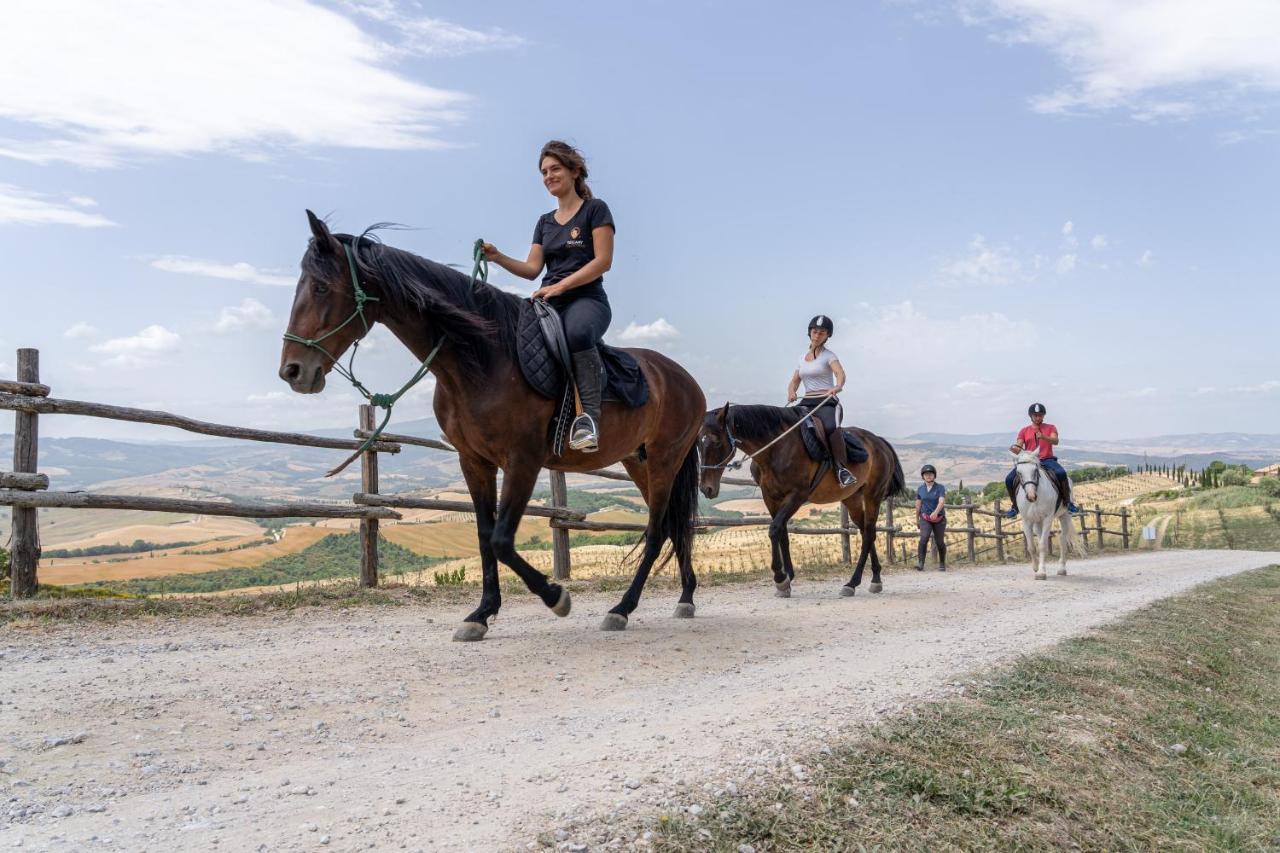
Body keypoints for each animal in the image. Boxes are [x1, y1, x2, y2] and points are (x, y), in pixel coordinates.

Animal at [280, 212, 706, 637]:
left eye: (320, 287)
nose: (293, 371)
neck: (482, 359)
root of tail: (687, 380)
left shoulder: (523, 460)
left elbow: (502, 539)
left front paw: (556, 597)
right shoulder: (474, 461)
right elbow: (485, 536)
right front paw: (482, 613)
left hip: (665, 460)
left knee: (657, 531)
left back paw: (622, 608)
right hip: (638, 461)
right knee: (673, 525)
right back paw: (685, 597)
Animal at [701, 404, 901, 591]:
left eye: (716, 441)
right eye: (698, 444)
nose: (706, 488)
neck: (776, 449)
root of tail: (880, 442)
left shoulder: (797, 496)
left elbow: (774, 529)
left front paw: (780, 577)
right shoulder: (771, 497)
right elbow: (782, 532)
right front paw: (788, 577)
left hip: (873, 495)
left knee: (869, 533)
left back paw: (853, 582)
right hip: (852, 499)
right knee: (867, 532)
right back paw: (876, 578)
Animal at [1013, 445, 1085, 578]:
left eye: (1035, 471)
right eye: (1018, 473)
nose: (1031, 496)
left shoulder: (1048, 519)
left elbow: (1042, 545)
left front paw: (1041, 573)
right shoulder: (1027, 521)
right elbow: (1031, 546)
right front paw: (1036, 567)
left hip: (1065, 516)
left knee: (1063, 540)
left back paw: (1062, 569)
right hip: (1037, 521)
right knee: (1041, 537)